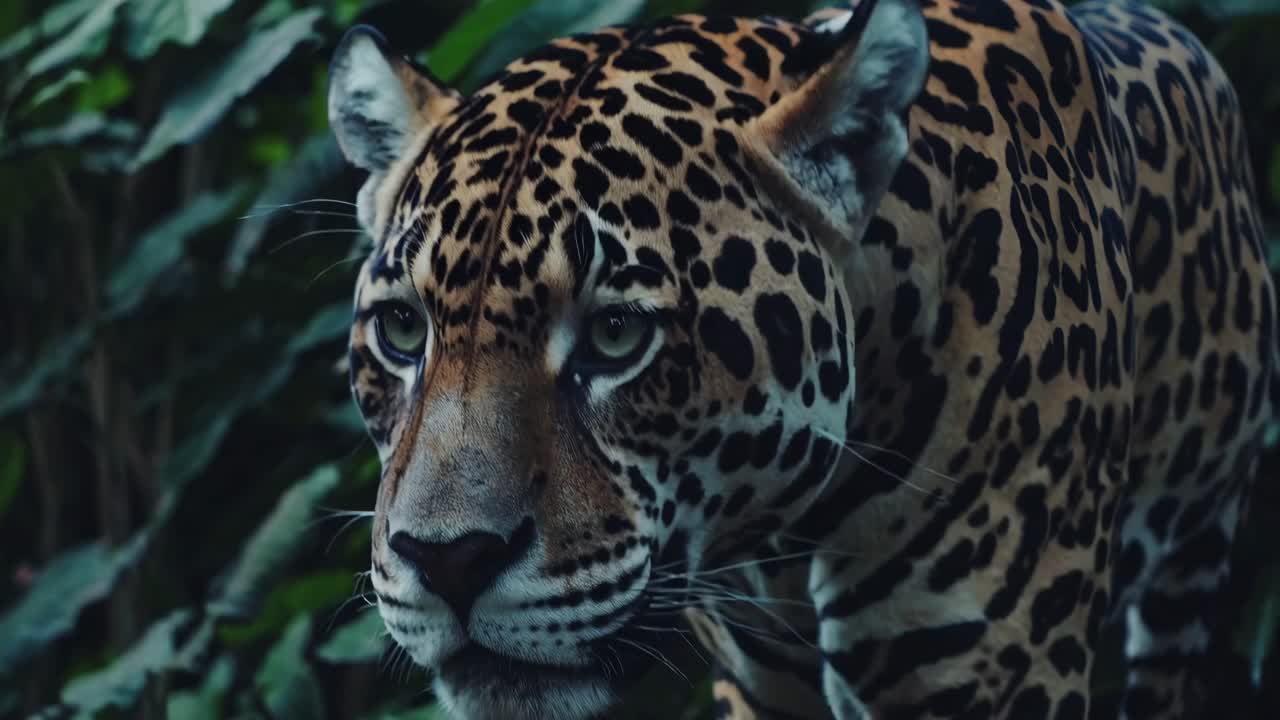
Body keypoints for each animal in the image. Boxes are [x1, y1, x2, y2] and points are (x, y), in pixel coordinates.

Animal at [325, 0, 1278, 717]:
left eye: (616, 335)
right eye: (403, 330)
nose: (448, 562)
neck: (776, 537)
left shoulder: (999, 679)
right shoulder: (758, 686)